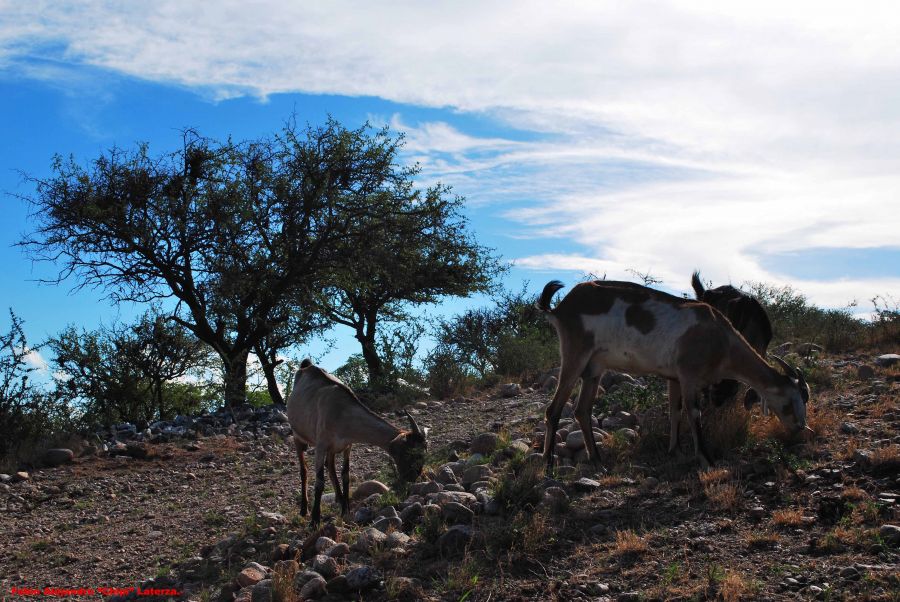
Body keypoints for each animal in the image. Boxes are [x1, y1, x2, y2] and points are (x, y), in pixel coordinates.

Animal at [288, 358, 428, 524]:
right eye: (410, 453)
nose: (412, 477)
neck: (341, 411)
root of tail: (306, 366)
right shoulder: (321, 444)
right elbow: (320, 481)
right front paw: (315, 520)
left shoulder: (347, 445)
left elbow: (345, 475)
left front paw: (345, 510)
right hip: (297, 435)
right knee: (304, 470)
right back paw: (304, 509)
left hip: (332, 449)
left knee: (331, 467)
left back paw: (340, 499)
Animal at [536, 278, 812, 472]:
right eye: (790, 401)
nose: (801, 428)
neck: (718, 335)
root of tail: (561, 307)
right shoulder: (689, 377)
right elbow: (693, 413)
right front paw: (707, 460)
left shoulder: (675, 378)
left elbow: (675, 411)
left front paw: (676, 452)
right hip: (575, 357)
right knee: (554, 409)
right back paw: (548, 466)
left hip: (594, 370)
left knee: (582, 410)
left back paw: (597, 463)